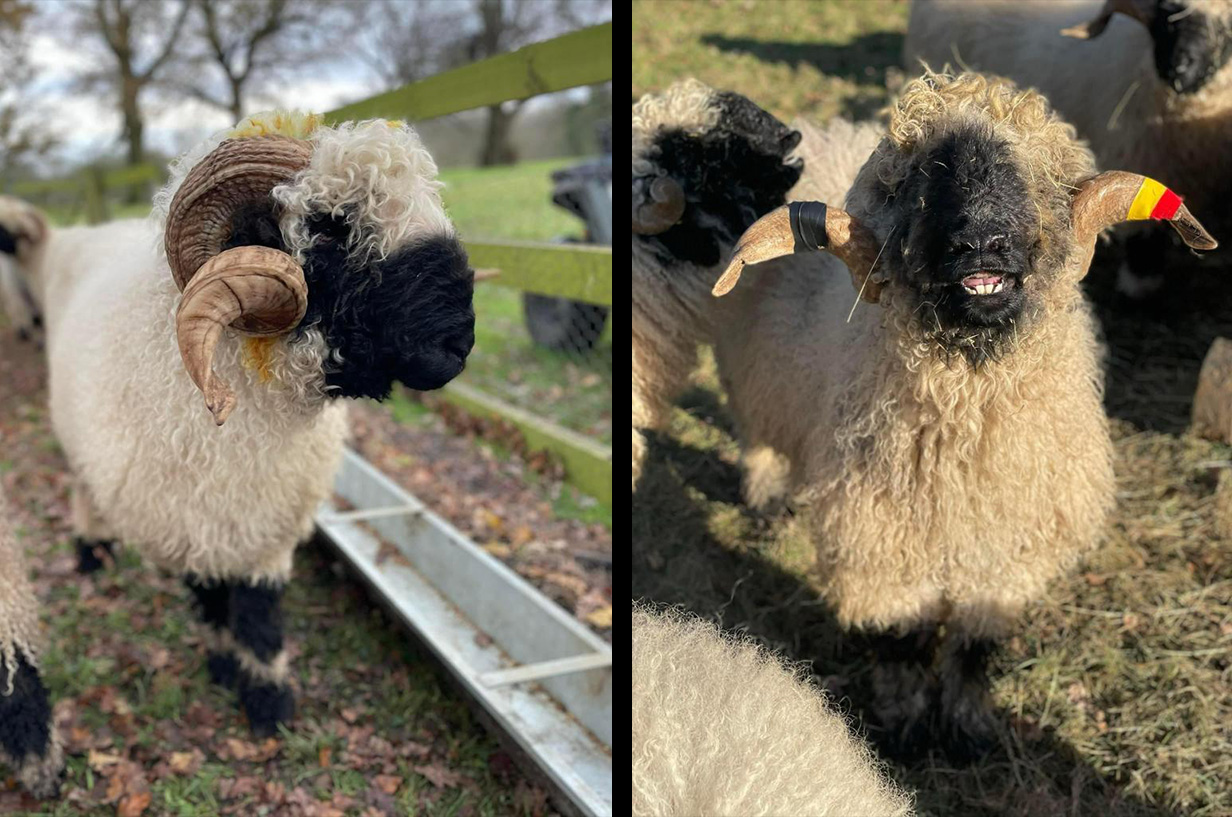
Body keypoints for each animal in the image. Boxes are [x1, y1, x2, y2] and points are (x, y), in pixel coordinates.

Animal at [0, 110, 475, 736]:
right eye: (329, 226)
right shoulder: (188, 523)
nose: (460, 344)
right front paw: (229, 669)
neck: (246, 434)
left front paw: (268, 701)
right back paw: (92, 551)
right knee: (81, 481)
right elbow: (211, 600)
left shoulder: (267, 530)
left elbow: (258, 617)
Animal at [640, 70, 1217, 758]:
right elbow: (903, 642)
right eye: (915, 185)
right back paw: (767, 499)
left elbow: (973, 648)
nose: (982, 245)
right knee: (756, 430)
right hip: (746, 368)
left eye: (1035, 174)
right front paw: (906, 729)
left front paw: (968, 730)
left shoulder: (1008, 561)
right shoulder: (880, 549)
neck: (965, 440)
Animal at [904, 0, 1232, 297]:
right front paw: (1140, 281)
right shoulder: (1137, 153)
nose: (1179, 73)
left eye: (1226, 27)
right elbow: (1142, 234)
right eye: (1166, 16)